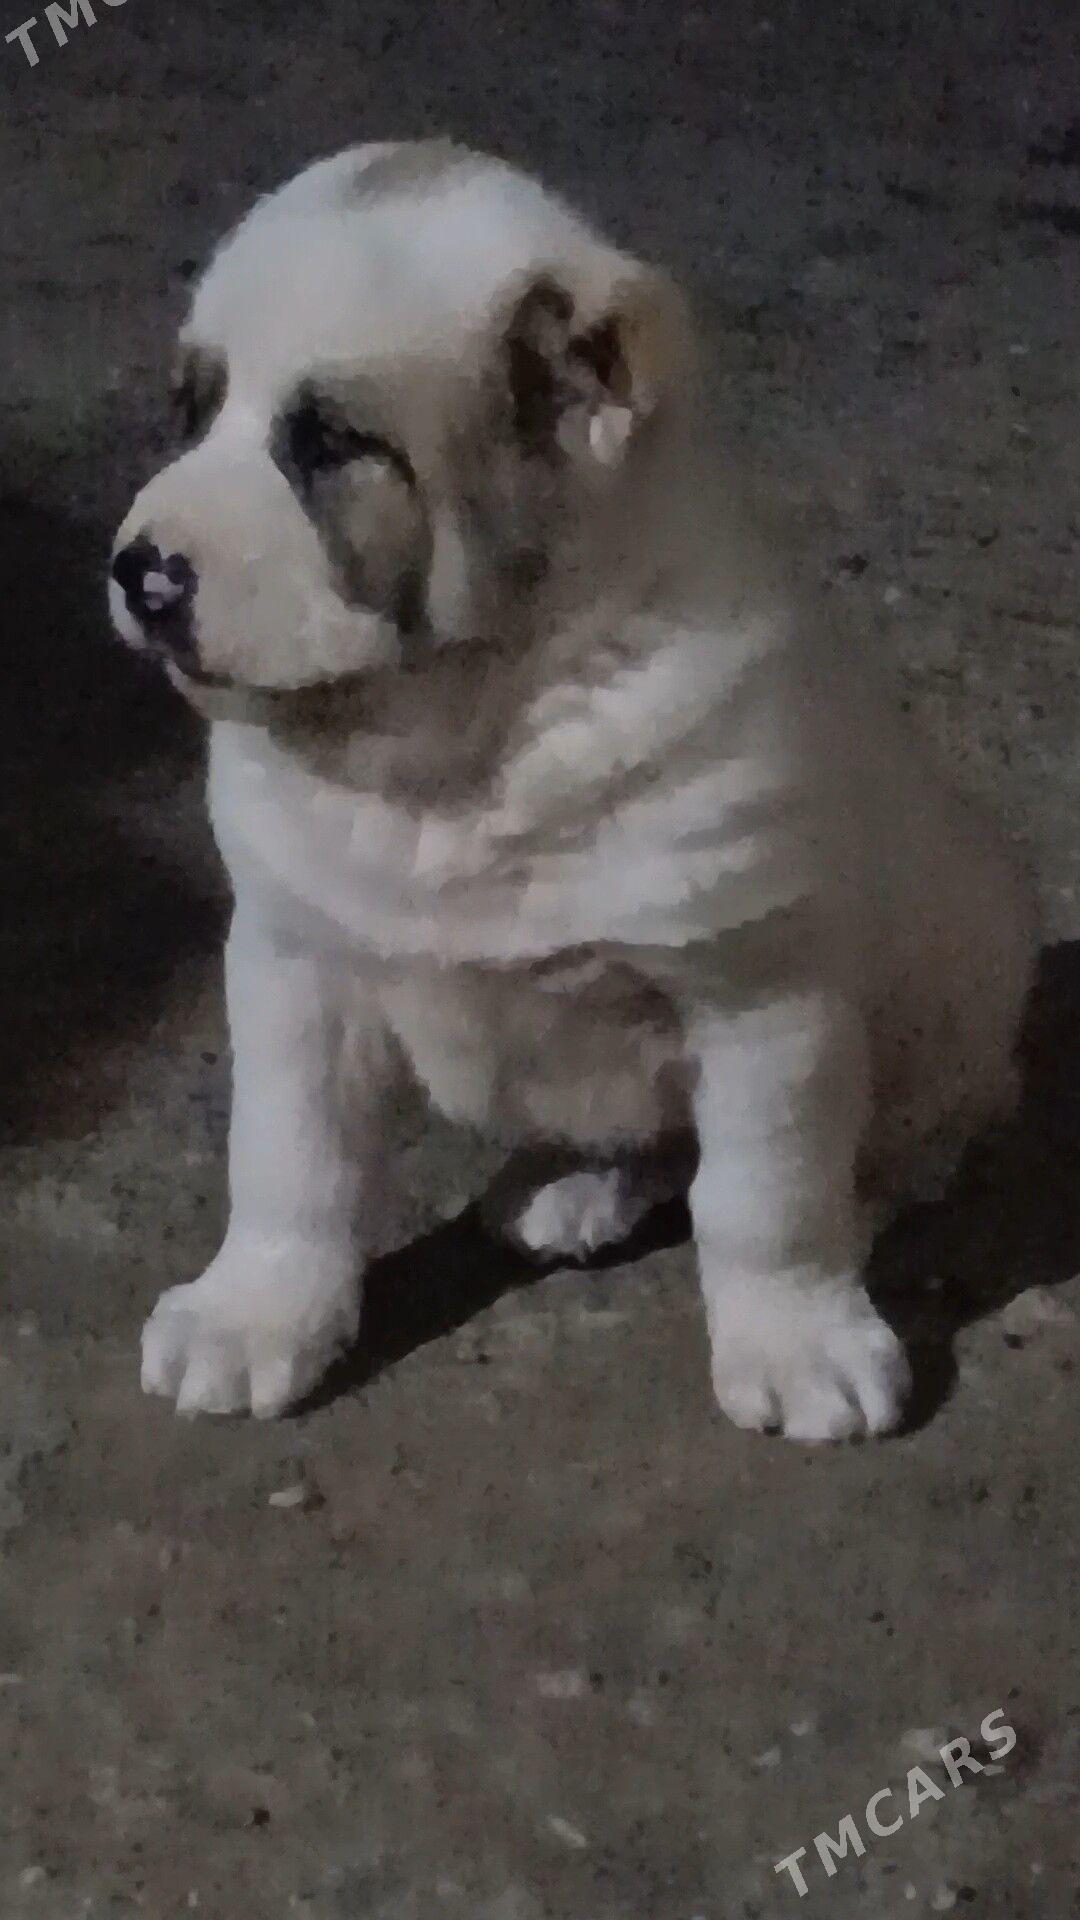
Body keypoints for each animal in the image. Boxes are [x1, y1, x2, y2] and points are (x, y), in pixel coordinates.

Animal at [108, 139, 1036, 1439]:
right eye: (191, 413)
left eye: (331, 445)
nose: (137, 573)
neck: (463, 743)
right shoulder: (294, 964)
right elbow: (288, 1159)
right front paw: (257, 1312)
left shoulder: (762, 997)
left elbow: (764, 1200)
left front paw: (798, 1333)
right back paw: (571, 1187)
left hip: (969, 961)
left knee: (924, 1118)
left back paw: (879, 1187)